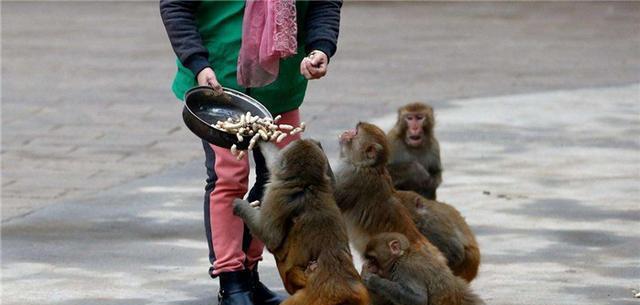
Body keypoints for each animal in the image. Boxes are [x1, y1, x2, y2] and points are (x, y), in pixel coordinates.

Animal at [232, 140, 368, 304]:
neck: (308, 184)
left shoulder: (279, 193)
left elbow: (270, 236)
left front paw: (239, 205)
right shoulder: (327, 185)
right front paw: (261, 139)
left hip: (307, 298)